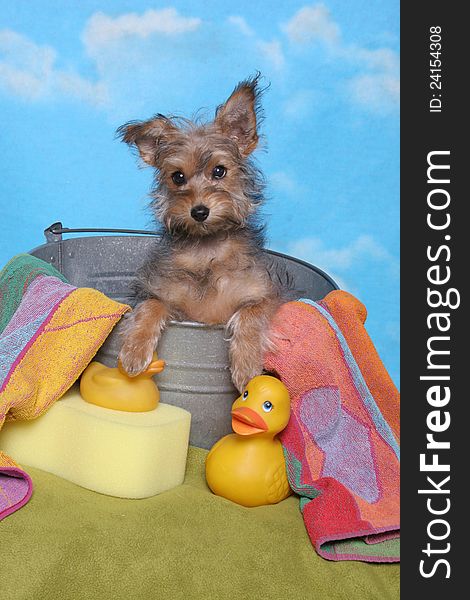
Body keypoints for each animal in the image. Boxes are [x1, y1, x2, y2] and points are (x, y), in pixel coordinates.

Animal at [117, 75, 286, 392]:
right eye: (177, 177)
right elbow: (150, 305)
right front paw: (134, 350)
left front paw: (246, 366)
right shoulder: (162, 293)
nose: (199, 211)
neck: (207, 250)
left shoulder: (266, 295)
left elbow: (250, 314)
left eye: (219, 171)